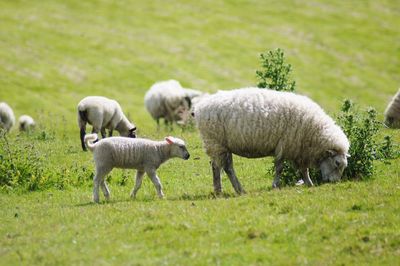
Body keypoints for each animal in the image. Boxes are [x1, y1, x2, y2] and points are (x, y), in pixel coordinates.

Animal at [194, 88, 350, 194]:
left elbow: (303, 170)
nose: (334, 183)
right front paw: (275, 185)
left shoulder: (299, 150)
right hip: (215, 142)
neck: (313, 131)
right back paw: (222, 190)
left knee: (225, 167)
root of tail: (201, 107)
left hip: (223, 145)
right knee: (219, 167)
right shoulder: (285, 145)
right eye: (337, 163)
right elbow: (280, 168)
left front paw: (309, 183)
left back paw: (234, 190)